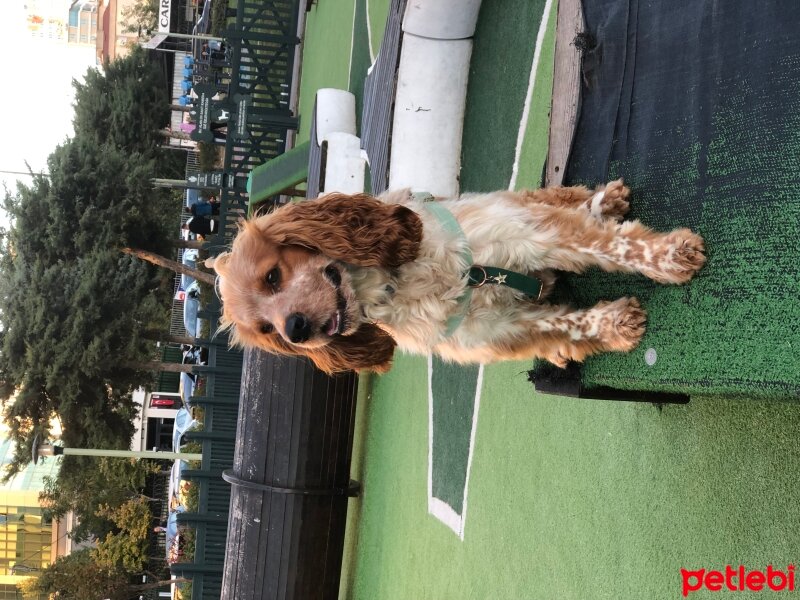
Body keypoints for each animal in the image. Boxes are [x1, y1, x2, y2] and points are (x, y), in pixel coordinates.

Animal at [212, 180, 708, 372]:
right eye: (266, 330)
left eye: (272, 276)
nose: (295, 330)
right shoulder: (501, 329)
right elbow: (568, 324)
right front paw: (617, 323)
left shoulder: (530, 237)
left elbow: (610, 245)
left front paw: (671, 256)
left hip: (519, 207)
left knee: (561, 199)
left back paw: (606, 200)